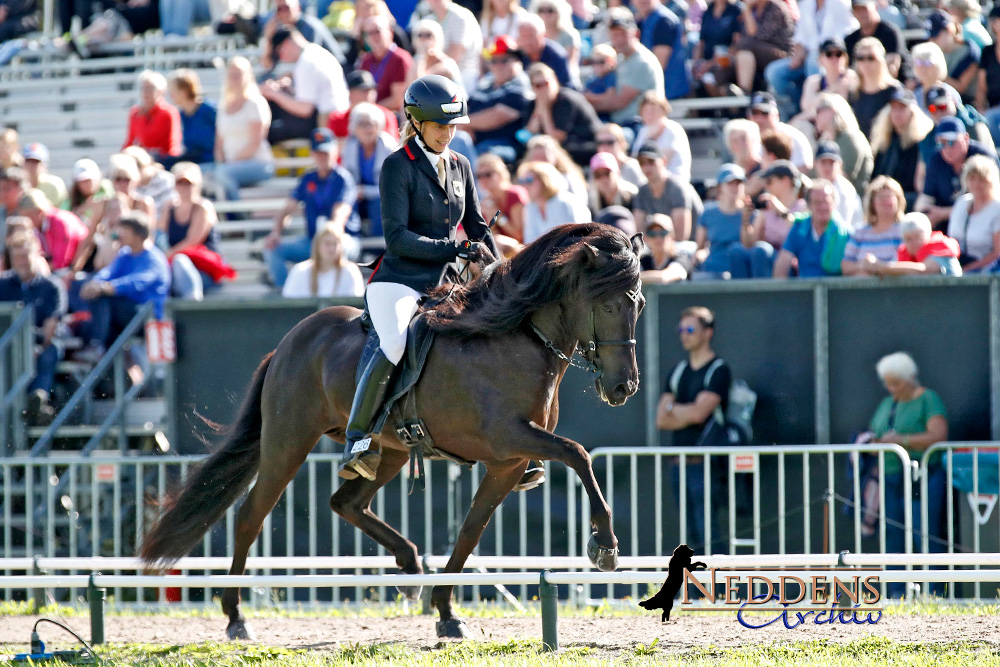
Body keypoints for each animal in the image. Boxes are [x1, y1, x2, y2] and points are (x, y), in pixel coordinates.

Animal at [141, 224, 644, 640]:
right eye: (606, 304)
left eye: (638, 304)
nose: (624, 387)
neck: (516, 338)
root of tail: (288, 343)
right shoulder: (508, 438)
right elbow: (578, 454)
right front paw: (605, 545)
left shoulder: (508, 462)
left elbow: (470, 531)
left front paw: (446, 612)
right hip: (288, 442)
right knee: (251, 515)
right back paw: (235, 617)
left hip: (391, 451)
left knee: (345, 502)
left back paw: (409, 565)